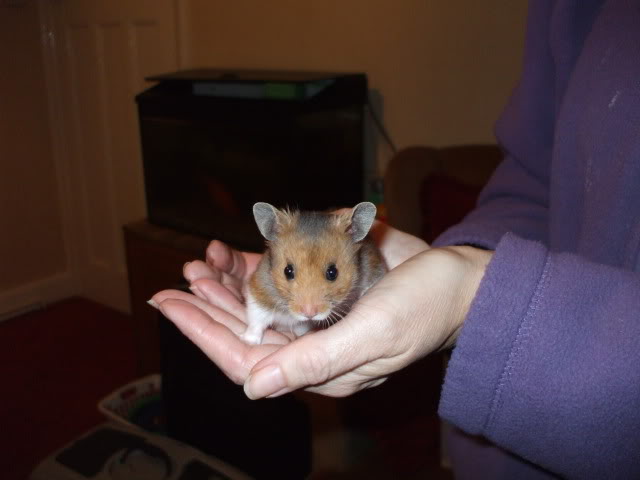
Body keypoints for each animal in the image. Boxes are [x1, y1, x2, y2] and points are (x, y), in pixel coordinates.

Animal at [241, 201, 388, 344]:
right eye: (287, 271)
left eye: (333, 272)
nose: (309, 314)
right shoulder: (259, 292)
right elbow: (256, 320)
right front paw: (248, 341)